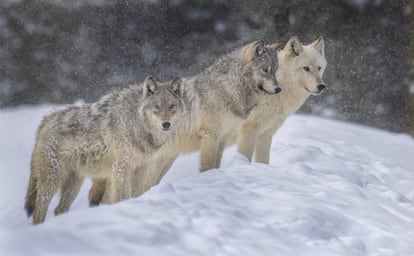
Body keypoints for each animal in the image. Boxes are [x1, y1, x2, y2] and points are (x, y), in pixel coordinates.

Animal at [25, 76, 187, 224]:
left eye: (172, 106)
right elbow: (122, 196)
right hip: (51, 180)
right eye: (157, 107)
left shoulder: (141, 168)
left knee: (59, 209)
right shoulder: (120, 168)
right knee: (39, 212)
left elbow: (136, 193)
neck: (136, 122)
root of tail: (46, 119)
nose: (166, 124)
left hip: (74, 185)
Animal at [236, 35, 326, 163]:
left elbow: (263, 161)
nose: (322, 86)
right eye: (306, 68)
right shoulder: (249, 130)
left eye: (319, 68)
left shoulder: (266, 134)